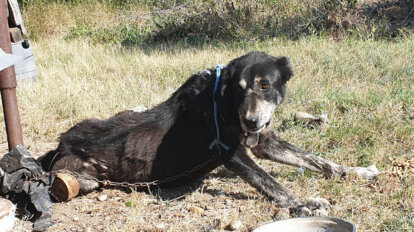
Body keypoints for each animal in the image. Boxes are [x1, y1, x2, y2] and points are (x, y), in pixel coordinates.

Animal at [39, 51, 378, 215]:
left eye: (265, 85)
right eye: (239, 90)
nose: (252, 122)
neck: (223, 102)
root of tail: (61, 143)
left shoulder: (264, 143)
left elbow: (315, 160)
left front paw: (355, 171)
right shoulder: (231, 153)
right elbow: (271, 182)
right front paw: (301, 203)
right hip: (80, 178)